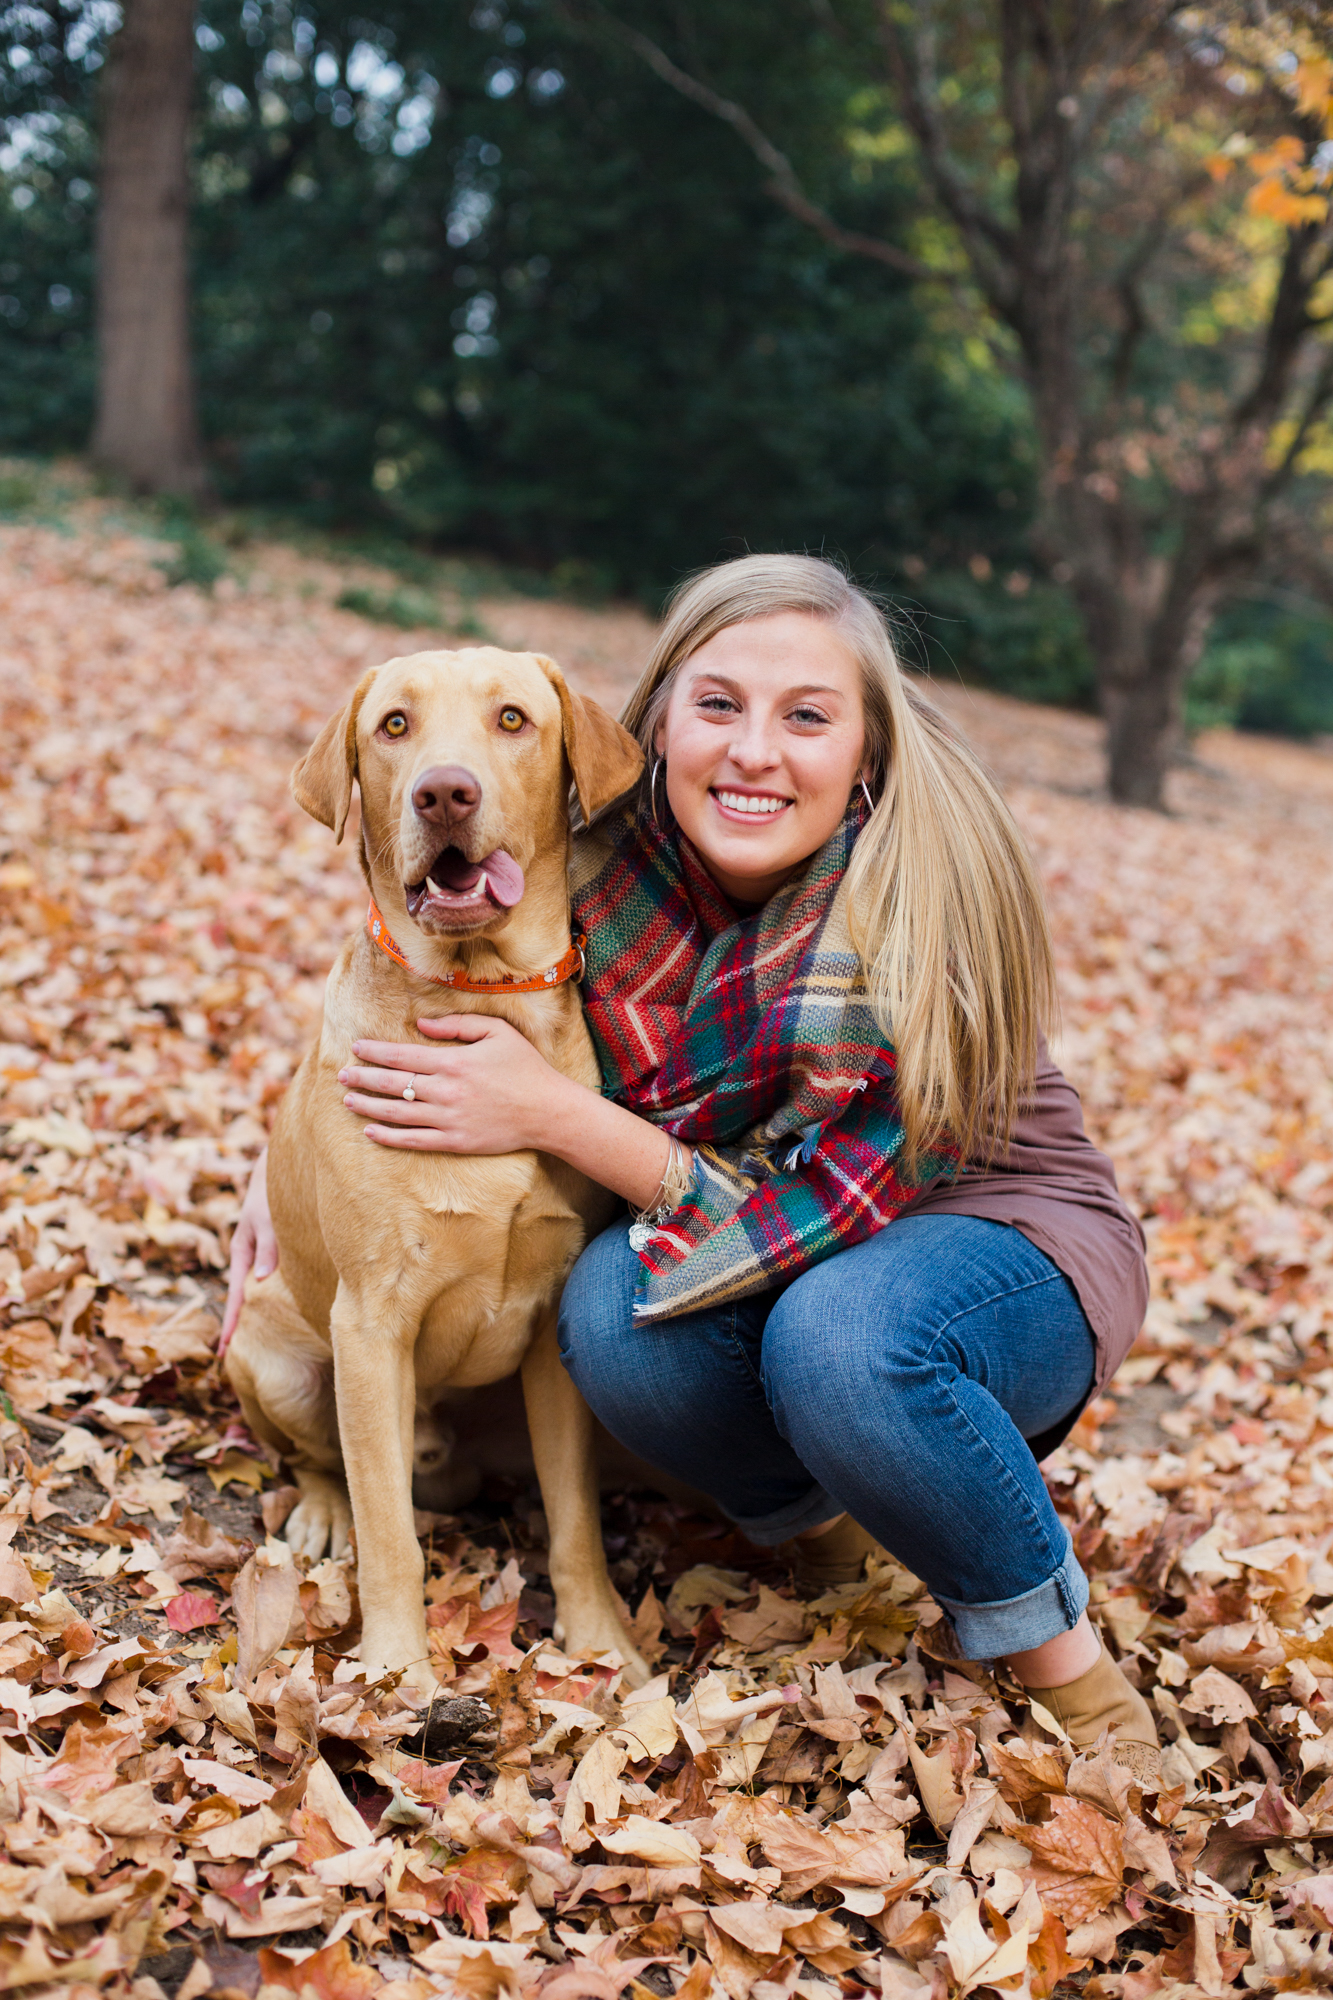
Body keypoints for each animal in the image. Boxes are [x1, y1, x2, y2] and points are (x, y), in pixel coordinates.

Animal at [226, 648, 644, 1696]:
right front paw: (395, 1671)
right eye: (394, 726)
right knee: (325, 1466)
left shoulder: (551, 1335)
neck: (481, 996)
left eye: (512, 719)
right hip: (276, 1355)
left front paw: (597, 1639)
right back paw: (322, 1514)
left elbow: (574, 1521)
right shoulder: (372, 1322)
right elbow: (390, 1537)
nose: (444, 793)